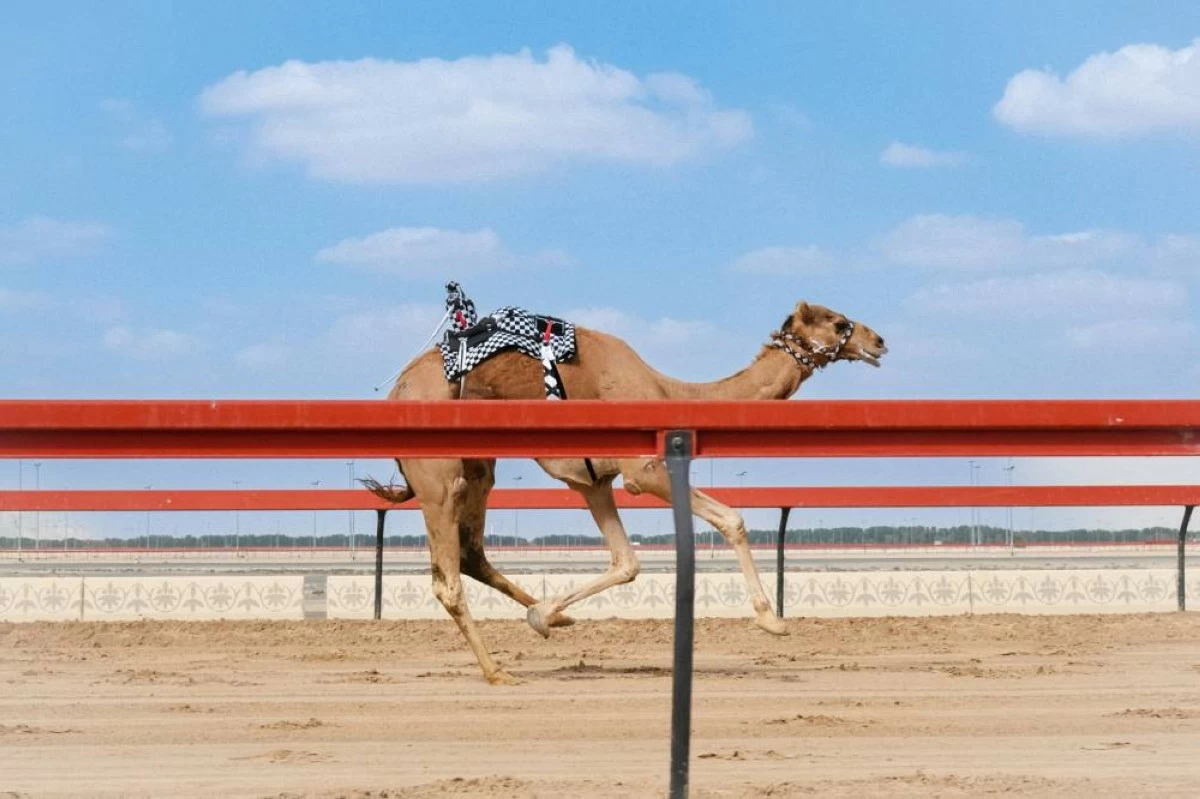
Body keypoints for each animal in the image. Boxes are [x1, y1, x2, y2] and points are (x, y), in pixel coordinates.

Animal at [368, 299, 887, 684]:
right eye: (839, 321)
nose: (879, 341)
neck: (666, 391)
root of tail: (396, 392)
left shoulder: (593, 480)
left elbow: (627, 562)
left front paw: (544, 616)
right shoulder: (644, 469)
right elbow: (730, 518)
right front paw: (772, 620)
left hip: (480, 464)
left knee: (472, 553)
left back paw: (549, 620)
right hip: (439, 478)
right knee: (447, 580)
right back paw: (497, 672)